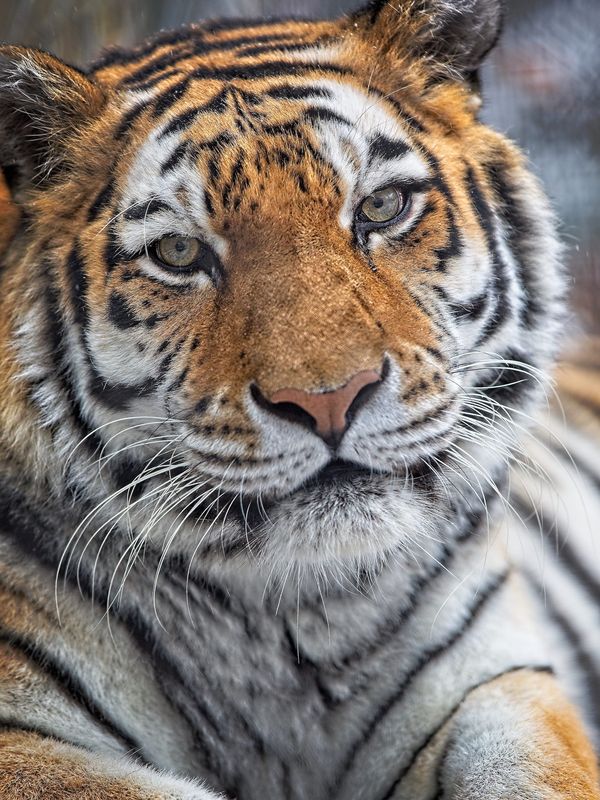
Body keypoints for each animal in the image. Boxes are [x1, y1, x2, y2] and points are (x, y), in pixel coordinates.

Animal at [0, 0, 599, 797]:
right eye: (179, 253)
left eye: (382, 206)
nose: (330, 402)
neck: (296, 622)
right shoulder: (18, 732)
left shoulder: (489, 680)